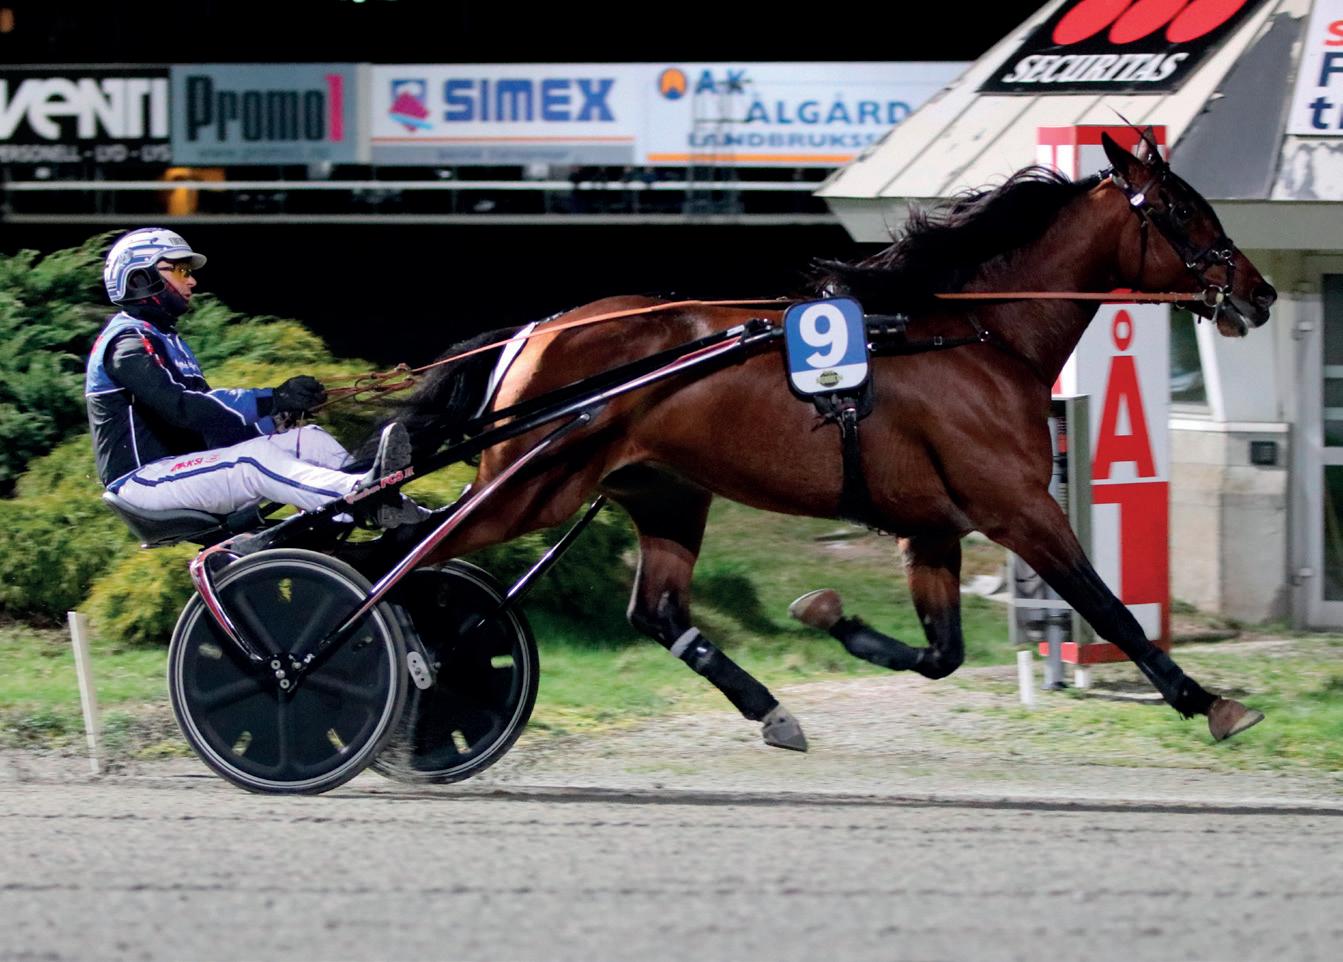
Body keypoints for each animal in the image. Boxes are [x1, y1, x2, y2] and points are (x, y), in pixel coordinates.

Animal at [387, 132, 1277, 752]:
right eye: (1184, 210)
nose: (1259, 293)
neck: (977, 335)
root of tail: (535, 332)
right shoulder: (1018, 508)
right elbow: (1109, 609)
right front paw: (1210, 703)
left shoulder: (932, 528)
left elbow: (941, 654)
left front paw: (827, 616)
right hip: (528, 489)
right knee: (401, 563)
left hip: (664, 491)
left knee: (658, 611)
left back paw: (771, 712)